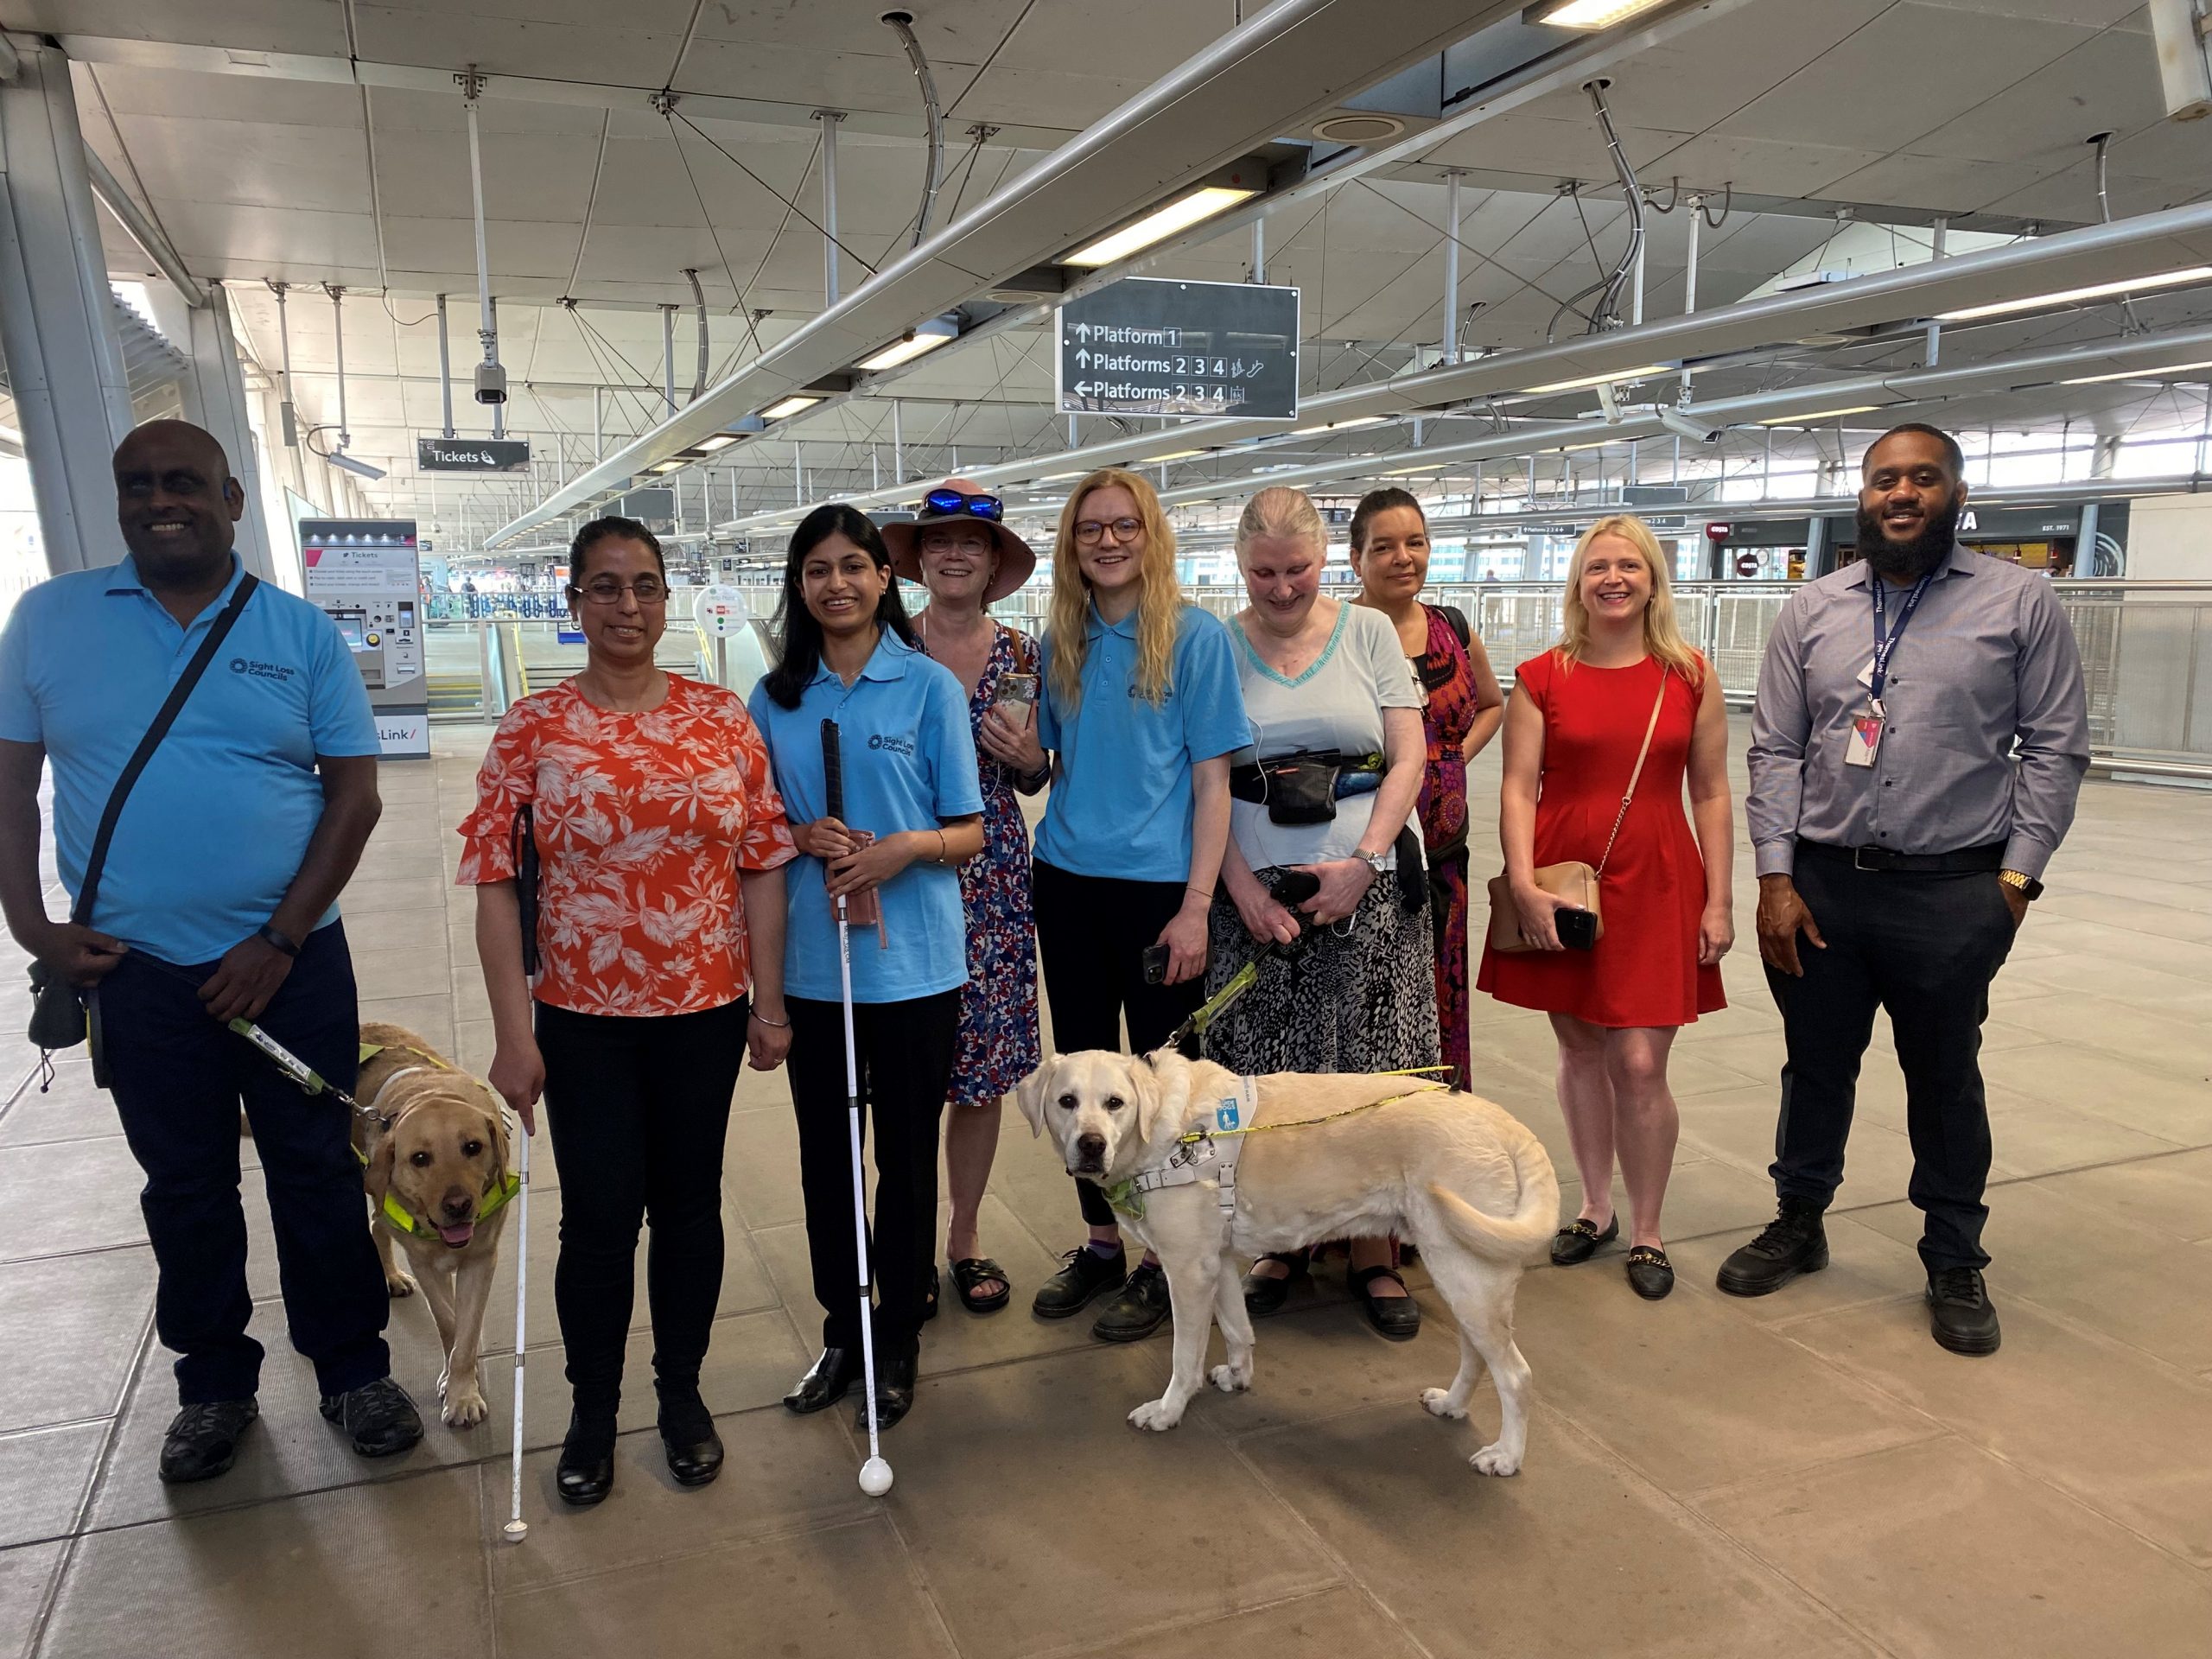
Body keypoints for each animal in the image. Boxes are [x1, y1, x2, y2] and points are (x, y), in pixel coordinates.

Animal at [353, 1026, 518, 1433]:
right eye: (420, 1158)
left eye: (473, 1147)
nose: (458, 1206)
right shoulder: (426, 1264)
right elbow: (448, 1324)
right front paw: (457, 1383)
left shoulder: (481, 1261)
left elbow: (467, 1332)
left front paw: (463, 1392)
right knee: (378, 1223)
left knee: (377, 1224)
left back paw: (392, 1276)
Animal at [1017, 1052, 1557, 1478]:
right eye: (1067, 1101)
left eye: (1115, 1103)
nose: (1090, 1144)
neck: (1165, 1137)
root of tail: (1506, 1123)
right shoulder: (1218, 1264)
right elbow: (1238, 1330)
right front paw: (1238, 1376)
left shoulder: (1188, 1271)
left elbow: (1183, 1358)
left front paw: (1168, 1410)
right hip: (1463, 1277)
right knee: (1476, 1356)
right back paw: (1452, 1405)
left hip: (1466, 1276)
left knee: (1516, 1375)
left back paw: (1506, 1456)